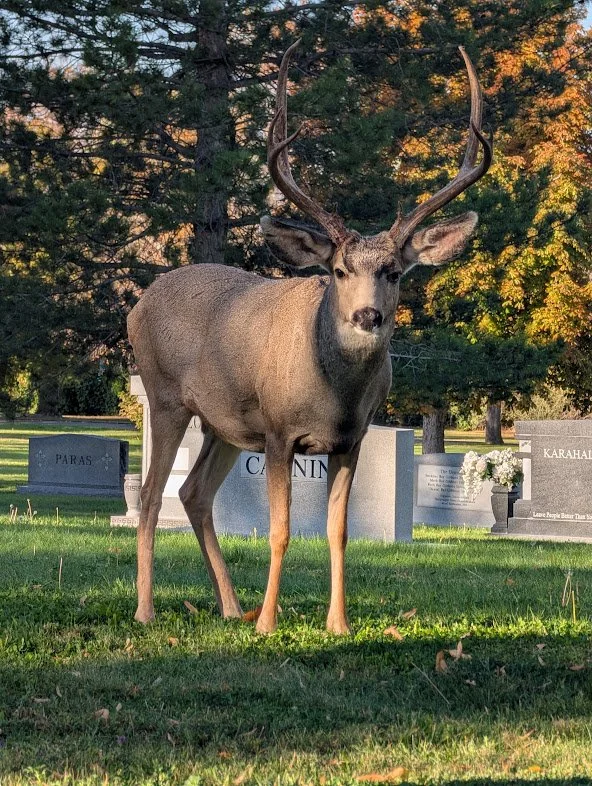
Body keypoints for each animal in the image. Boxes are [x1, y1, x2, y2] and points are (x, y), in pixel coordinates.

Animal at [127, 41, 492, 634]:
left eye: (395, 271)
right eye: (339, 271)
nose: (367, 315)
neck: (331, 396)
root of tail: (138, 305)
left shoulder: (350, 441)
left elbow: (337, 532)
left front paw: (337, 624)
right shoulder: (278, 432)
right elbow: (280, 530)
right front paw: (269, 623)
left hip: (224, 424)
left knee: (193, 492)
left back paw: (231, 607)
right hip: (164, 397)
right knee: (152, 494)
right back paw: (147, 610)